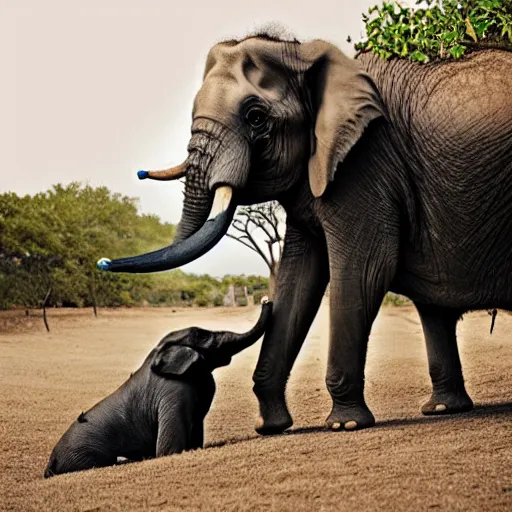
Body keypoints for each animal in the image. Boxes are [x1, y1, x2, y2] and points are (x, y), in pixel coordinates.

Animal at [45, 298, 272, 478]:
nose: (266, 300)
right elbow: (168, 450)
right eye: (203, 336)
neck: (158, 350)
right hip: (84, 454)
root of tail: (50, 463)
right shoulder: (174, 391)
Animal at [97, 33, 512, 432]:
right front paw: (270, 427)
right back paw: (442, 408)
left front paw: (344, 424)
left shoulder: (366, 162)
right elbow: (299, 277)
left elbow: (366, 268)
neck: (305, 55)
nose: (102, 262)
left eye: (255, 117)